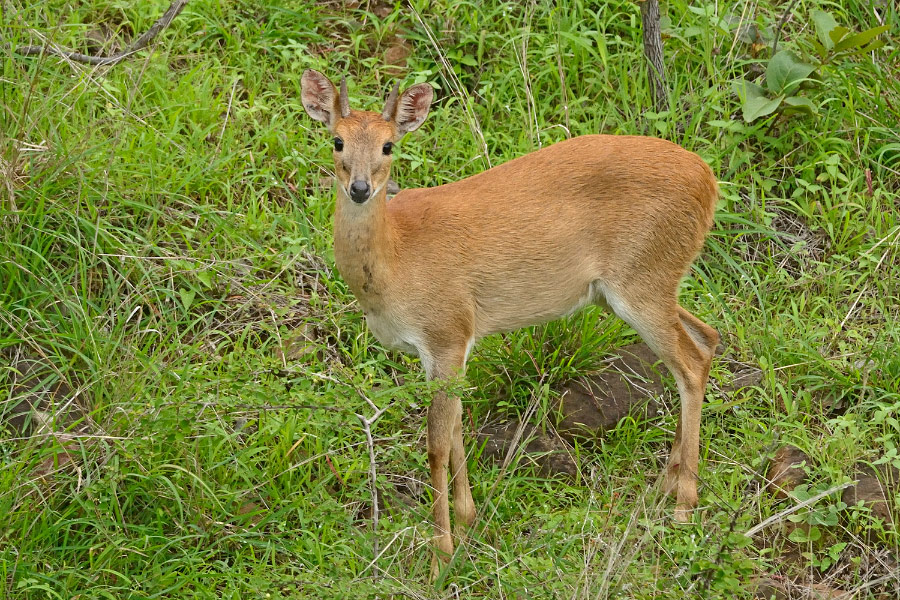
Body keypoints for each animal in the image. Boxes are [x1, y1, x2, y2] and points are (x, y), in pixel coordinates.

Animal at [302, 68, 724, 580]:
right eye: (337, 140)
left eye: (388, 145)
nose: (361, 188)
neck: (397, 259)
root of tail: (709, 181)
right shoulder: (447, 346)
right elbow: (456, 428)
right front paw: (467, 522)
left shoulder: (447, 331)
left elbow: (436, 443)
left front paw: (440, 556)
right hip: (633, 289)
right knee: (707, 338)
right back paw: (665, 484)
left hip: (642, 281)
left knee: (690, 364)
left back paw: (684, 504)